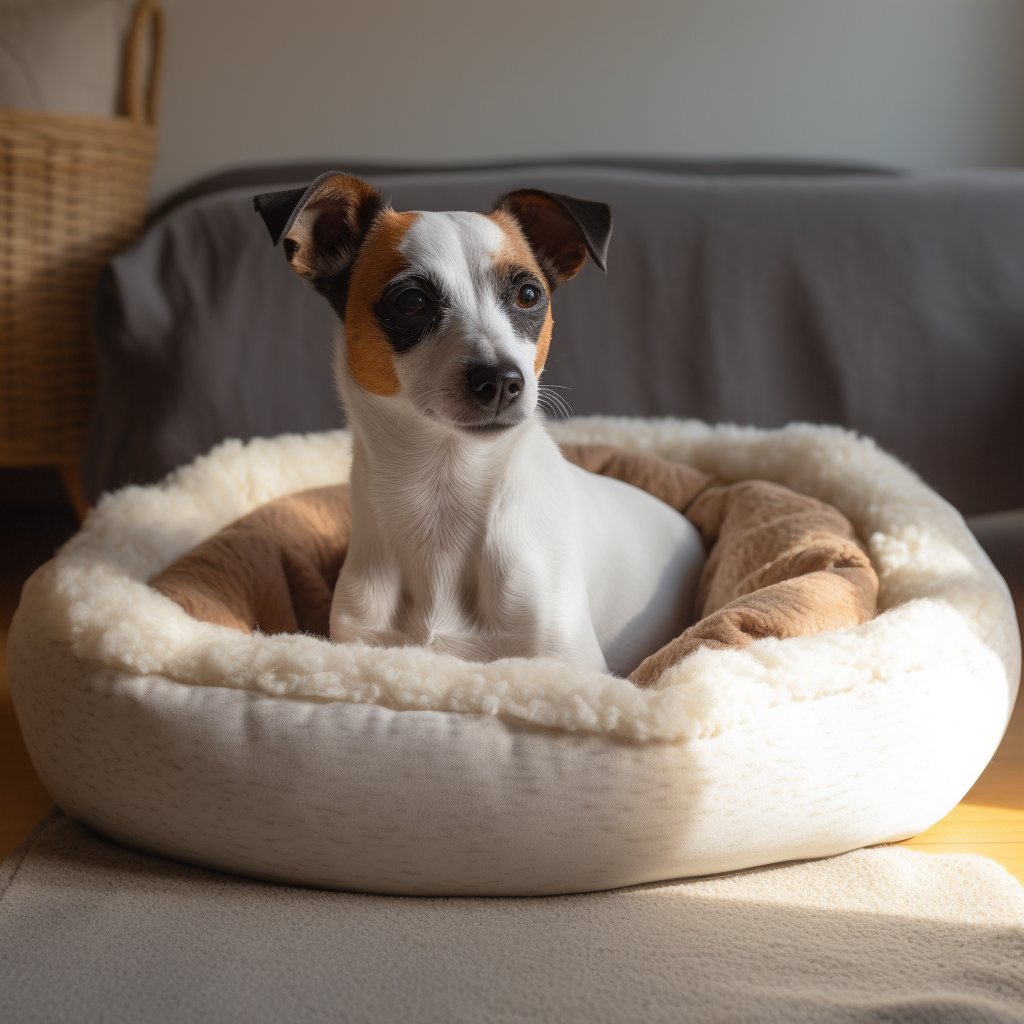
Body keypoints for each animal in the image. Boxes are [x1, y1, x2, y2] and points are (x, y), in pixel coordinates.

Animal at [254, 172, 704, 675]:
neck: (443, 498)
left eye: (528, 295)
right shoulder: (362, 643)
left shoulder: (567, 666)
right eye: (411, 301)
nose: (502, 380)